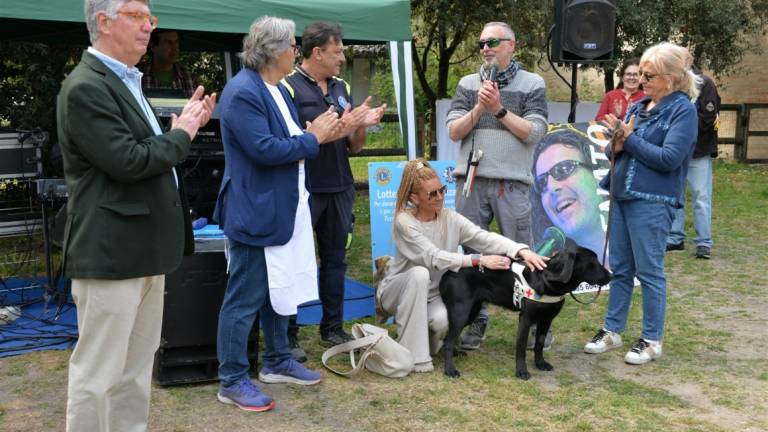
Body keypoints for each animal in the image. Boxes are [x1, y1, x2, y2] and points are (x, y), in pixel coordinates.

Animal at [438, 245, 612, 380]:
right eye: (592, 263)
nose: (611, 276)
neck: (546, 280)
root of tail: (448, 272)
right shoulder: (526, 319)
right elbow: (521, 347)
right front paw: (521, 372)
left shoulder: (546, 319)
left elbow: (539, 344)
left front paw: (540, 364)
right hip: (461, 312)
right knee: (449, 341)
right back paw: (450, 370)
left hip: (472, 311)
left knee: (448, 339)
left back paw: (455, 355)